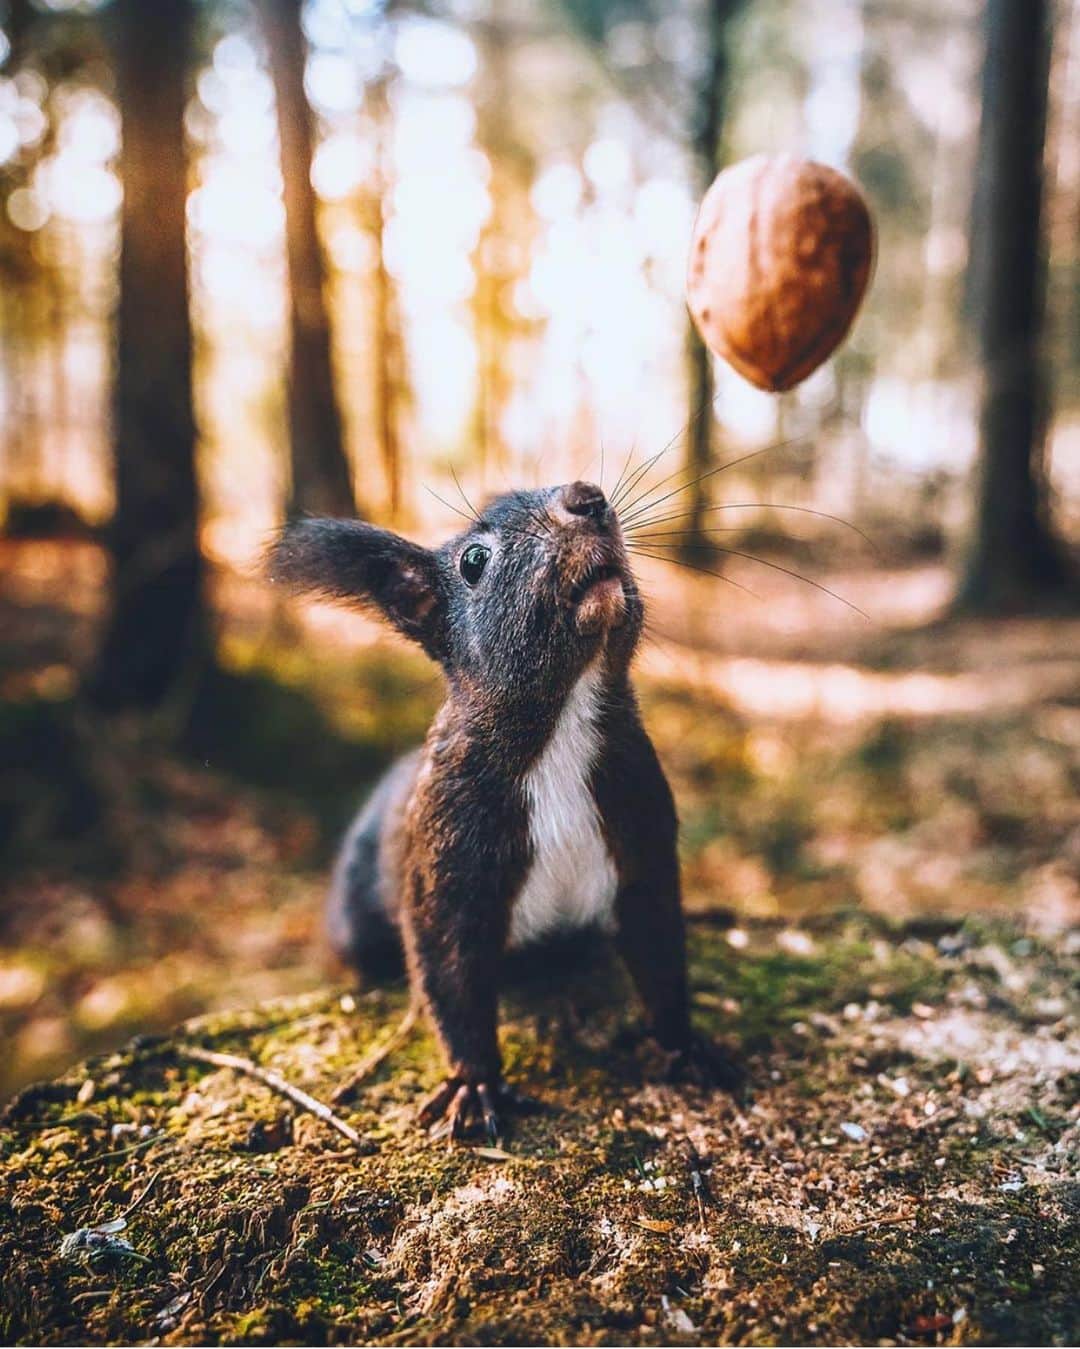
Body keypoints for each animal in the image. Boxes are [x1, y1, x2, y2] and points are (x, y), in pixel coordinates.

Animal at [270, 480, 739, 1141]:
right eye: (474, 560)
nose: (587, 497)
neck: (562, 727)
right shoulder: (446, 853)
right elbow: (450, 974)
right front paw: (474, 1086)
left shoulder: (643, 831)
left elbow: (660, 953)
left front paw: (686, 1046)